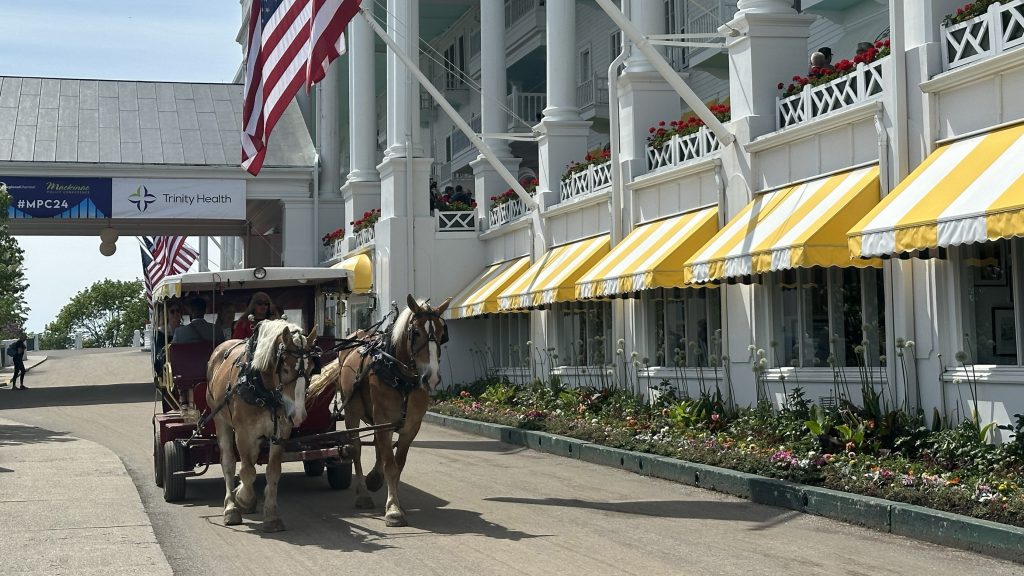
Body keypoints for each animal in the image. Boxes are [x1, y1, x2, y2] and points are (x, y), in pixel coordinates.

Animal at [205, 317, 317, 528]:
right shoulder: (242, 433)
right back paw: (231, 506)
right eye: (285, 368)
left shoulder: (281, 432)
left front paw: (272, 516)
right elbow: (247, 470)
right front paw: (242, 499)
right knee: (229, 462)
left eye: (311, 367)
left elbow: (273, 471)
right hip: (220, 420)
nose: (298, 415)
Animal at [303, 293, 448, 522]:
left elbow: (398, 464)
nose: (431, 378)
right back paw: (363, 493)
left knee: (377, 445)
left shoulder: (410, 427)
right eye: (415, 332)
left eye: (442, 333)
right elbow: (390, 465)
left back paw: (374, 478)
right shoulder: (384, 420)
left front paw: (394, 500)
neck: (401, 379)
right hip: (352, 412)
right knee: (356, 449)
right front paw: (393, 509)